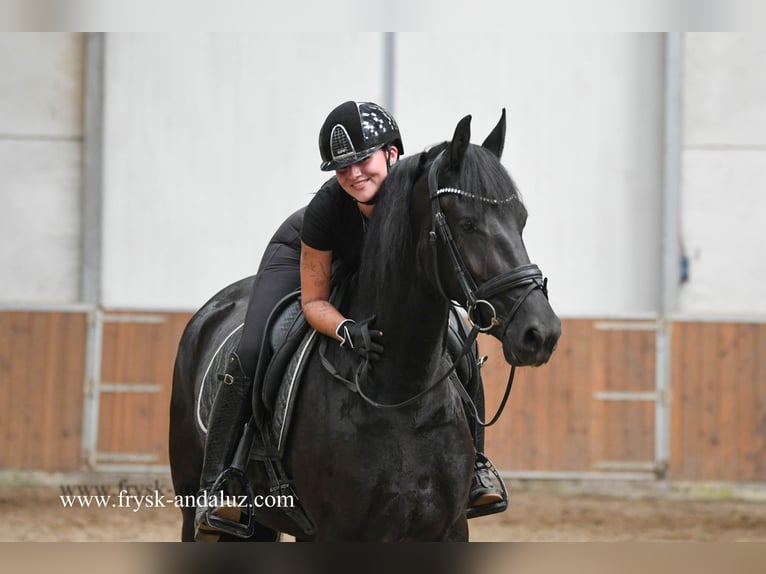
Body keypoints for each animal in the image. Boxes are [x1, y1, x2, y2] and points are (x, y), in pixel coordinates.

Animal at [169, 110, 561, 541]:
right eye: (468, 223)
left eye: (521, 220)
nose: (541, 332)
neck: (401, 393)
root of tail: (210, 312)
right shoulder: (338, 533)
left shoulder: (448, 528)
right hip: (194, 506)